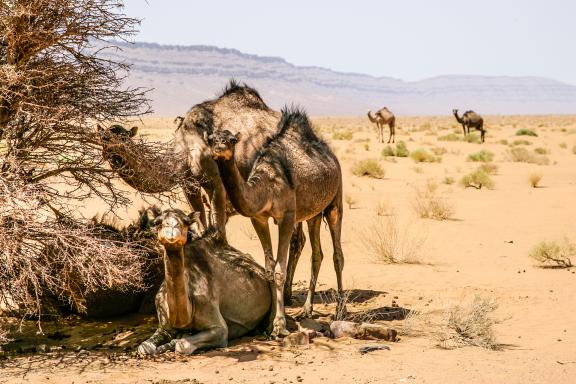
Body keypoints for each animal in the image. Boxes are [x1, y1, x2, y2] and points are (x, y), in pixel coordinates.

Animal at [137, 208, 270, 356]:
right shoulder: (164, 325)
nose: (171, 228)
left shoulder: (218, 327)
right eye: (157, 222)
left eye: (186, 221)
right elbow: (144, 347)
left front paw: (174, 342)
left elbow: (182, 345)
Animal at [207, 107, 344, 336]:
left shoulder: (287, 217)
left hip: (336, 199)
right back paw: (306, 310)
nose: (219, 148)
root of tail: (332, 156)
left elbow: (280, 270)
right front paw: (271, 322)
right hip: (313, 213)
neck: (267, 185)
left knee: (337, 254)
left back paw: (341, 310)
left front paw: (280, 325)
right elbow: (269, 269)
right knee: (317, 254)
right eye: (210, 139)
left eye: (232, 140)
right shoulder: (259, 219)